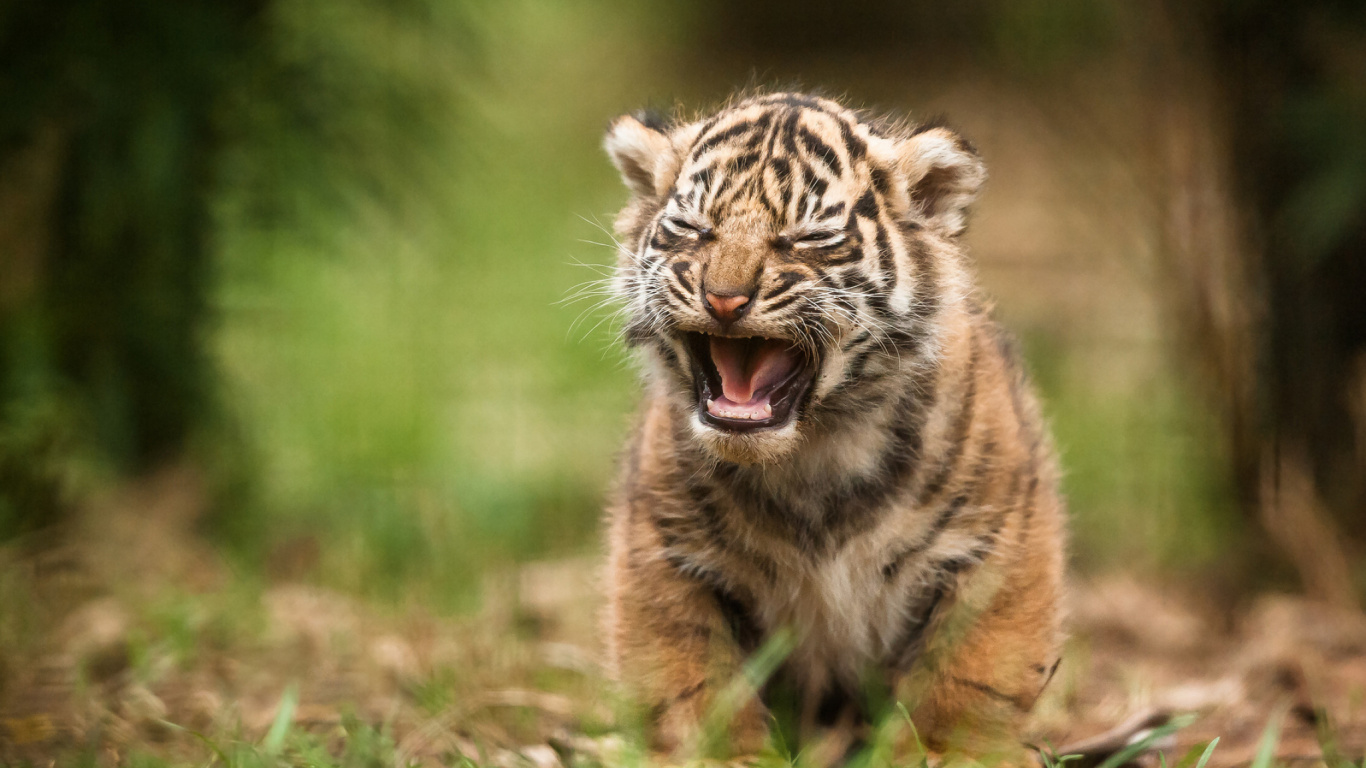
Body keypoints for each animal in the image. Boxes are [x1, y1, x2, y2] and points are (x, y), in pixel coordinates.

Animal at [599, 92, 1066, 766]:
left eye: (805, 239)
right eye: (693, 229)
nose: (723, 299)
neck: (812, 452)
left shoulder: (997, 540)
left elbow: (972, 672)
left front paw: (944, 752)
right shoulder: (663, 550)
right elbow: (691, 679)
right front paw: (722, 754)